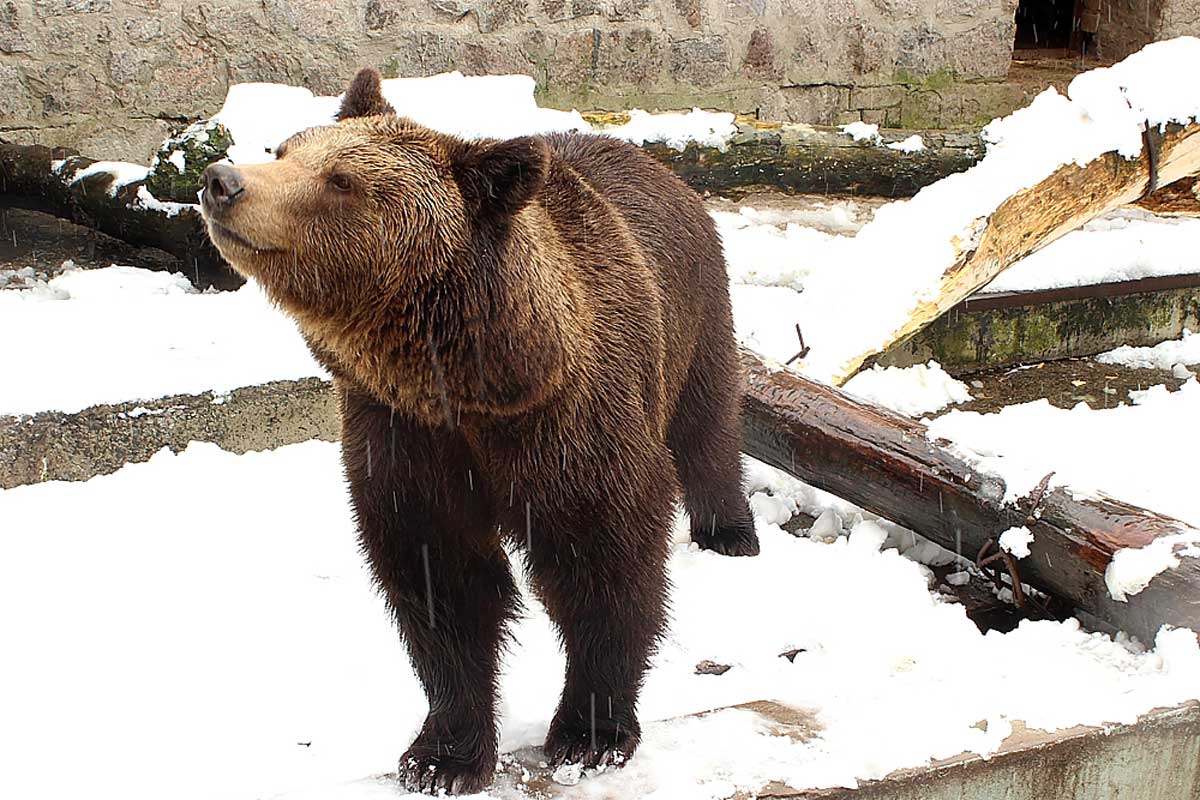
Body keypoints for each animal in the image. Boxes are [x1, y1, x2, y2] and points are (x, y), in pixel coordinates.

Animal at [198, 68, 758, 796]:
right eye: (286, 148)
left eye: (341, 180)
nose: (222, 180)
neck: (474, 383)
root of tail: (660, 165)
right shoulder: (404, 438)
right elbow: (445, 586)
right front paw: (441, 756)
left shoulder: (571, 428)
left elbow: (603, 566)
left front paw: (590, 734)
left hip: (693, 316)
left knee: (707, 428)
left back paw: (731, 532)